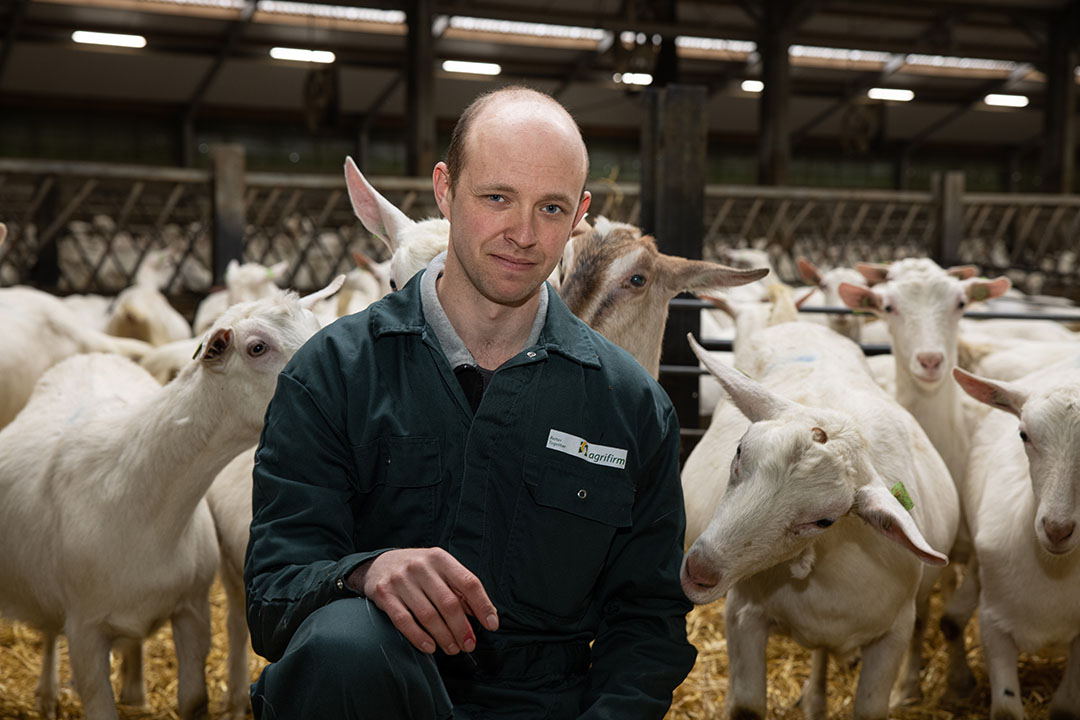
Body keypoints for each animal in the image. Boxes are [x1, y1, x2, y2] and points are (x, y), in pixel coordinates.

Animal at [0, 278, 341, 716]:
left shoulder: (192, 611)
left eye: (316, 324)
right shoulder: (85, 632)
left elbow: (194, 700)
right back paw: (46, 693)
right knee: (47, 630)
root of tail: (92, 356)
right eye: (256, 347)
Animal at [678, 319, 959, 720]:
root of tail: (803, 322)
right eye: (739, 451)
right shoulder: (743, 614)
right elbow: (746, 708)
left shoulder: (894, 633)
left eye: (824, 521)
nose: (700, 571)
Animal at [954, 367, 1080, 720]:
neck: (1054, 570)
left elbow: (1066, 707)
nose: (1057, 529)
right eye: (1023, 434)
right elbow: (1006, 710)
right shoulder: (992, 619)